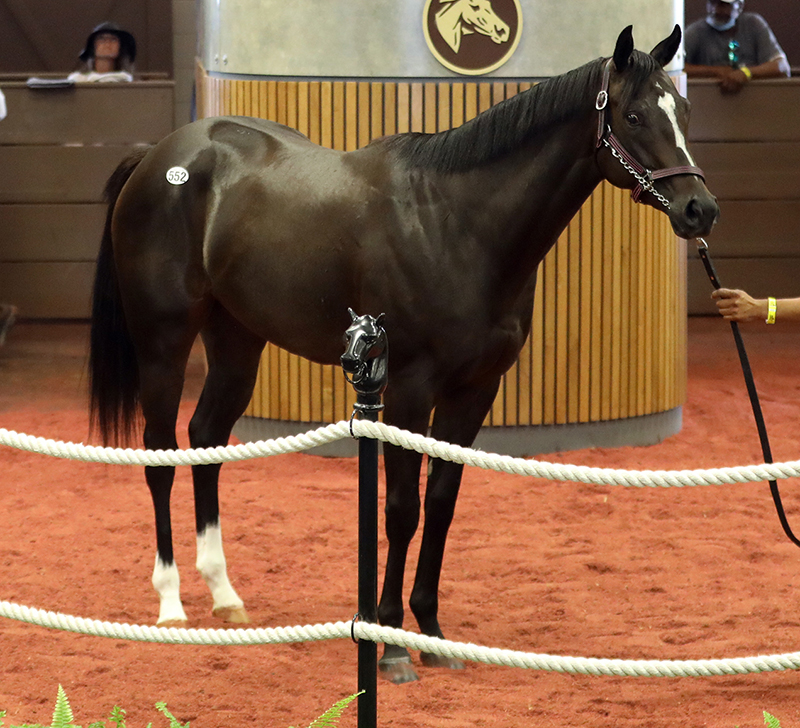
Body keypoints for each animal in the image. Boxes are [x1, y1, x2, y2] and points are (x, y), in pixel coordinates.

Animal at [89, 24, 720, 684]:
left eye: (684, 109)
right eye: (634, 115)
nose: (699, 209)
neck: (456, 224)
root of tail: (159, 157)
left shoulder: (475, 390)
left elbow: (441, 504)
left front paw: (434, 634)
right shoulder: (409, 389)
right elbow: (400, 508)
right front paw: (390, 643)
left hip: (236, 339)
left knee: (207, 439)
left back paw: (224, 596)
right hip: (163, 341)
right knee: (159, 455)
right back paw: (171, 604)